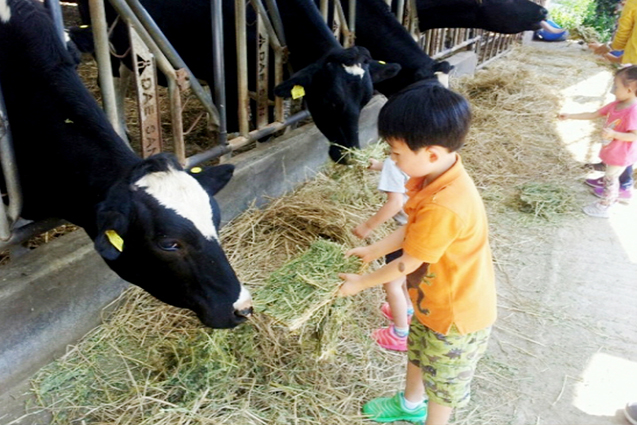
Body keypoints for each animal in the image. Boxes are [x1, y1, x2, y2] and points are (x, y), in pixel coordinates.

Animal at [73, 0, 398, 161]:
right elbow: (257, 126)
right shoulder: (232, 76)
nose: (350, 155)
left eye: (364, 101)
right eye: (330, 101)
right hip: (110, 39)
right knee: (114, 83)